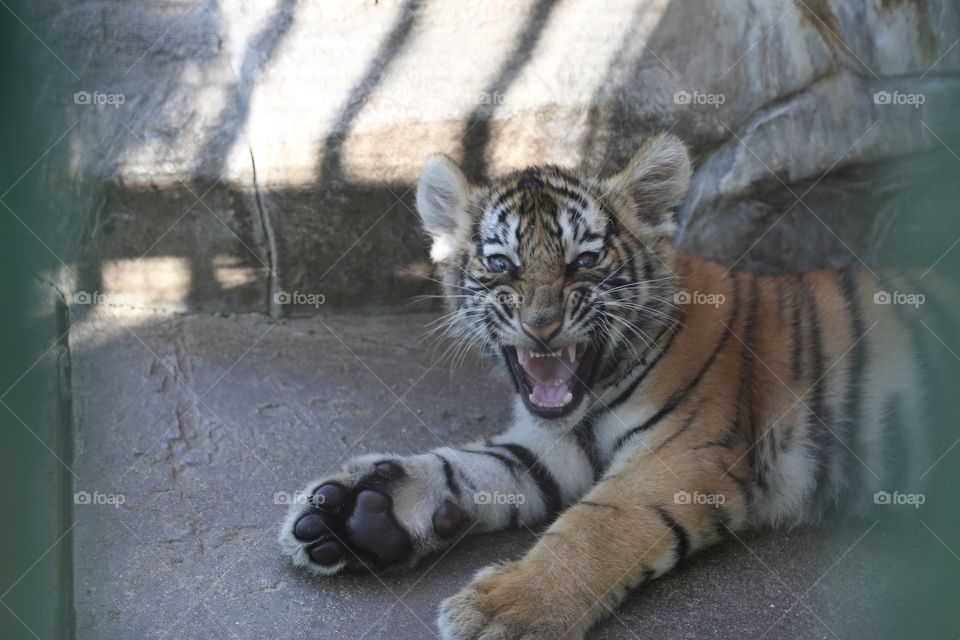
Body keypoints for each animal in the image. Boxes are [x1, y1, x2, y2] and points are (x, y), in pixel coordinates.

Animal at [278, 133, 946, 639]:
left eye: (585, 260)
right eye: (501, 264)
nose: (541, 324)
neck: (595, 391)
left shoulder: (679, 455)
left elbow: (594, 527)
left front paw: (504, 611)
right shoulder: (558, 445)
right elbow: (474, 466)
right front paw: (357, 514)